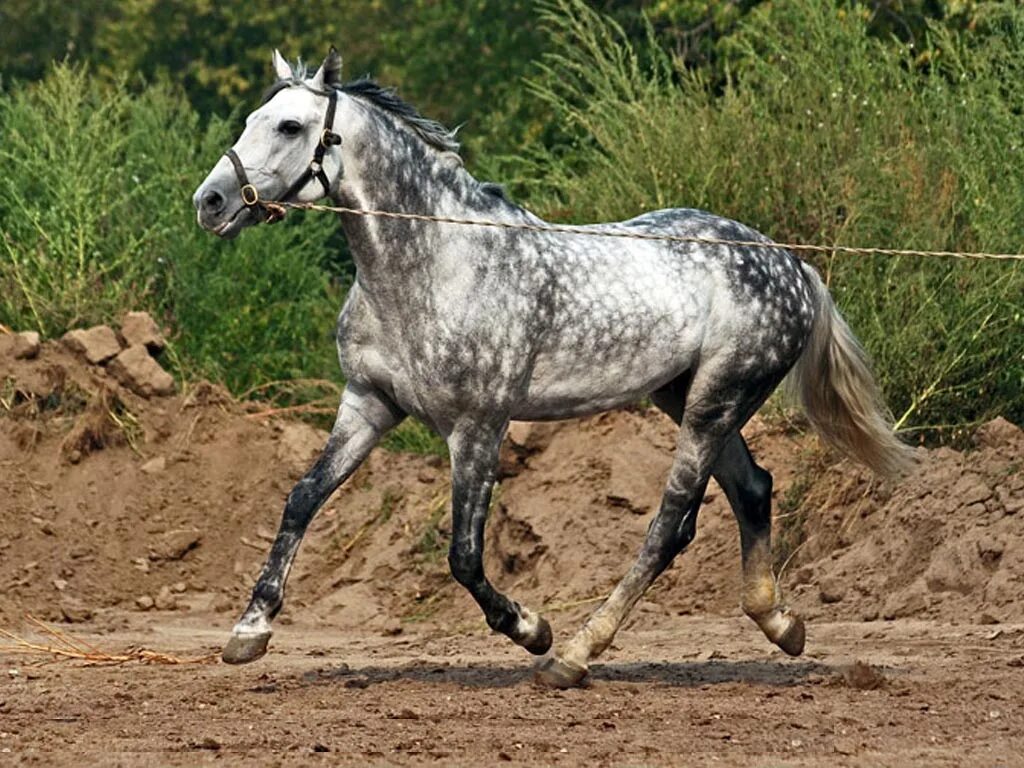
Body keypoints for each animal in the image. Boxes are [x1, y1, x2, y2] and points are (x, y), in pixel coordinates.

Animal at [193, 48, 913, 688]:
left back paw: (571, 655)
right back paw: (781, 625)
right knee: (753, 489)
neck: (435, 263)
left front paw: (530, 628)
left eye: (290, 126)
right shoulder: (368, 403)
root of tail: (793, 264)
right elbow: (303, 498)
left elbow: (464, 555)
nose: (211, 201)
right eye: (253, 118)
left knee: (670, 526)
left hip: (715, 404)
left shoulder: (479, 426)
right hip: (687, 398)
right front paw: (249, 632)